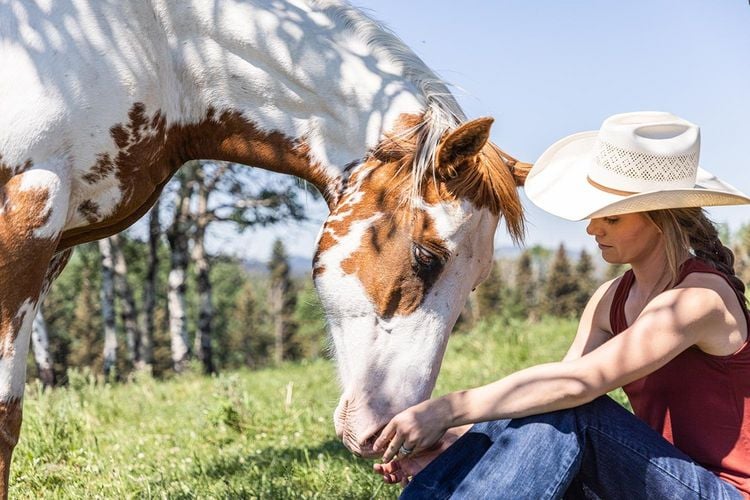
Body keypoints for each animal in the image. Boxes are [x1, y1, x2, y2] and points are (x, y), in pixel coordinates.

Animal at [0, 0, 529, 492]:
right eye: (427, 256)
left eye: (477, 282)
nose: (388, 431)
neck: (153, 44)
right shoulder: (27, 210)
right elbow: (7, 414)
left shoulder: (57, 243)